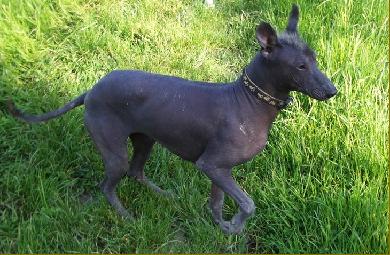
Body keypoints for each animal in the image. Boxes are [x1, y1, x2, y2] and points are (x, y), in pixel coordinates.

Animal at [7, 4, 336, 235]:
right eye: (301, 66)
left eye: (315, 60)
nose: (333, 91)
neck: (248, 100)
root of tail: (90, 91)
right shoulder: (212, 165)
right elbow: (248, 203)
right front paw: (237, 225)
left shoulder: (220, 170)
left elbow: (217, 204)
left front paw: (224, 228)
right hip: (114, 152)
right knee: (108, 185)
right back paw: (126, 217)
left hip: (145, 140)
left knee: (136, 172)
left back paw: (163, 195)